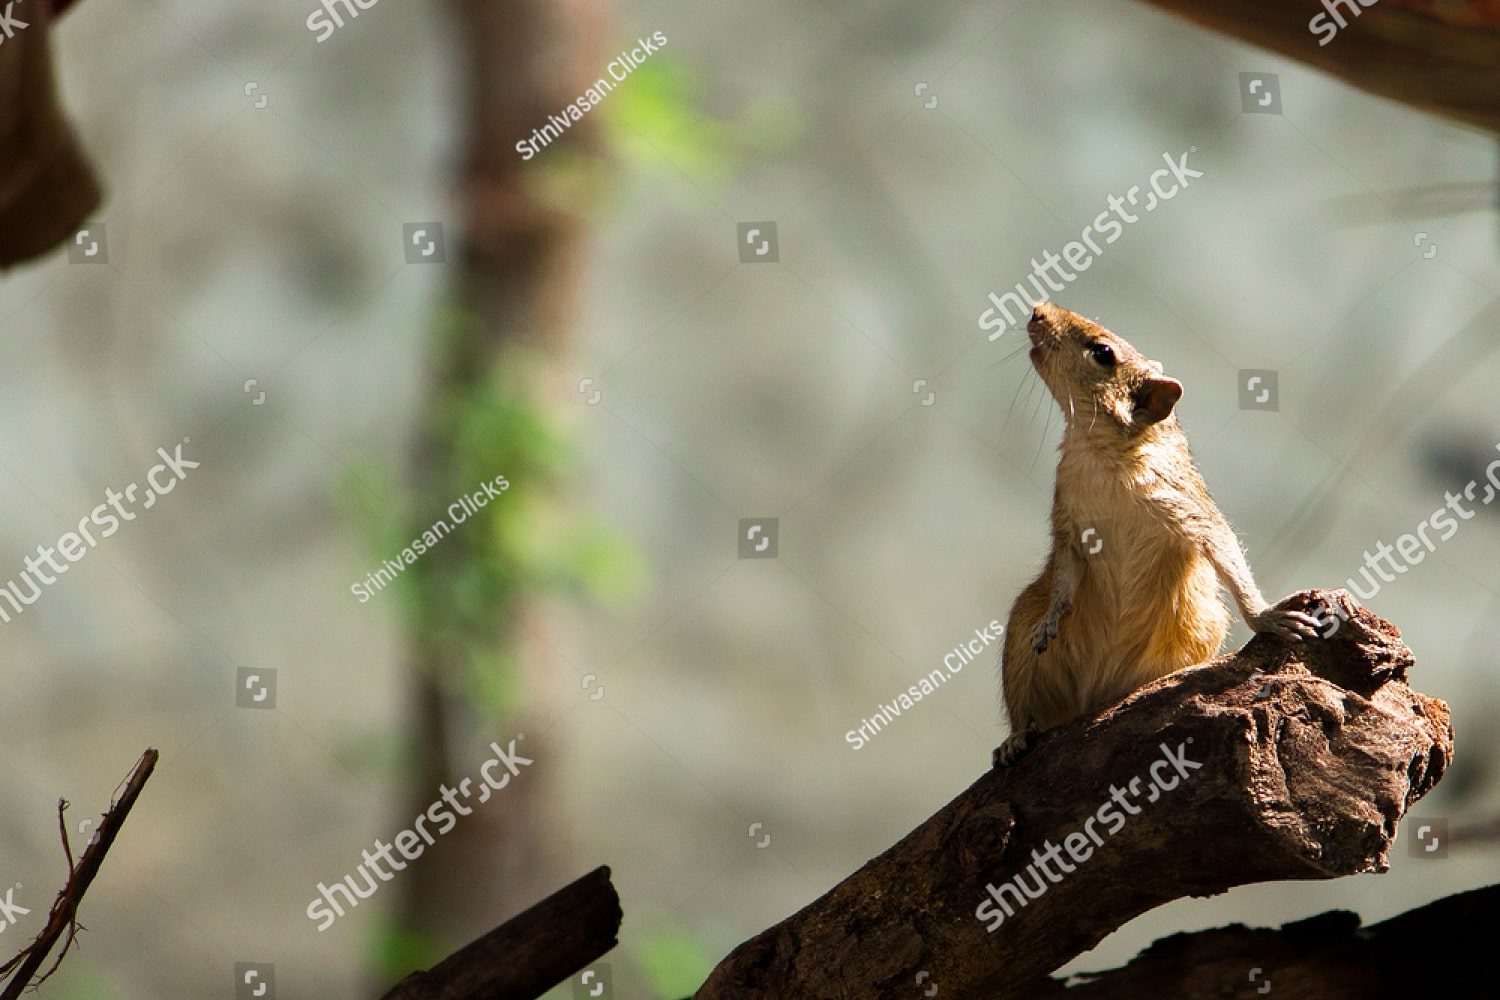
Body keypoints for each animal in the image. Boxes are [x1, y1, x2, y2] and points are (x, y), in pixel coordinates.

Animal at [993, 303, 1320, 767]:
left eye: (1103, 352)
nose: (1039, 309)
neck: (1099, 452)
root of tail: (1097, 693)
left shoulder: (1190, 510)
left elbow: (1226, 551)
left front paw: (1267, 615)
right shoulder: (1069, 528)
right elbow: (1065, 577)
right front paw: (1053, 618)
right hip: (1019, 643)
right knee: (1025, 707)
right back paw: (1015, 739)